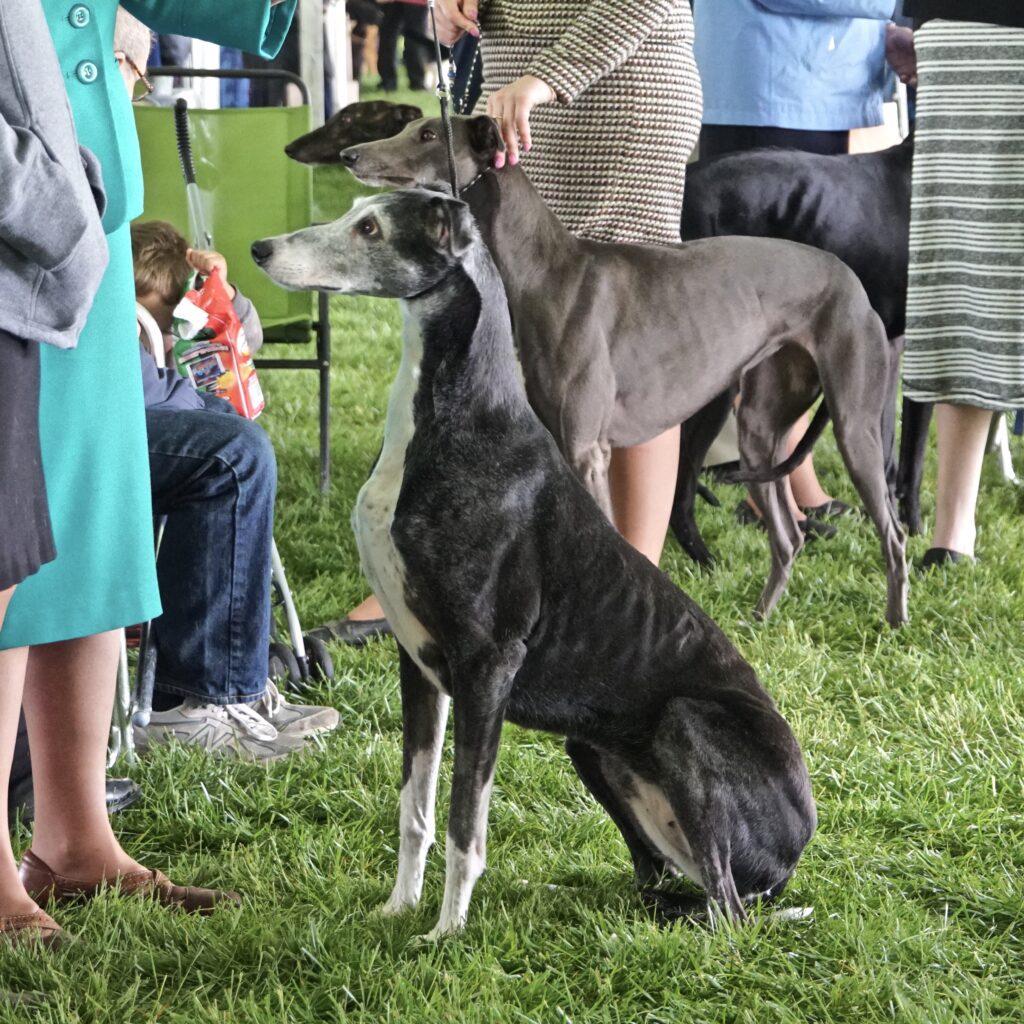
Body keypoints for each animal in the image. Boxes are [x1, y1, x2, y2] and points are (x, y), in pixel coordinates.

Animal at [253, 190, 815, 937]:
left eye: (370, 227)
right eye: (354, 209)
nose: (258, 250)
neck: (454, 417)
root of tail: (793, 857)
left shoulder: (486, 666)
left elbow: (465, 821)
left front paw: (445, 933)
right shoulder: (418, 663)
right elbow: (415, 806)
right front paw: (398, 908)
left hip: (685, 724)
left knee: (723, 911)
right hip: (592, 747)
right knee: (660, 881)